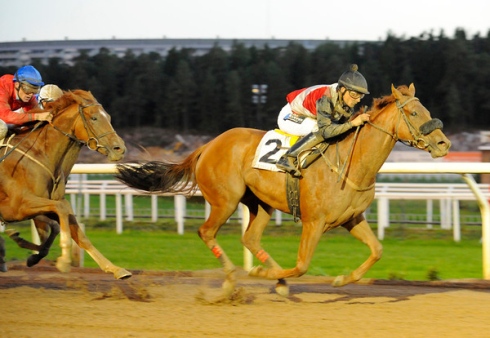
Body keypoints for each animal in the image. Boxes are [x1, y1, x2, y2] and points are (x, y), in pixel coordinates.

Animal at [0, 90, 132, 280]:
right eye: (94, 118)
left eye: (108, 116)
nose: (119, 148)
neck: (39, 153)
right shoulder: (15, 207)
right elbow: (60, 211)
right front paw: (64, 260)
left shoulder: (47, 205)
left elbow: (76, 232)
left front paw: (115, 269)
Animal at [116, 84, 452, 296]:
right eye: (414, 114)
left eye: (425, 109)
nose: (444, 143)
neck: (351, 161)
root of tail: (207, 145)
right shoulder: (314, 222)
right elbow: (302, 265)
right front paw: (260, 274)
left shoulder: (351, 218)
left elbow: (377, 250)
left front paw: (341, 279)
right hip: (225, 200)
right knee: (207, 232)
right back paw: (233, 278)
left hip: (259, 203)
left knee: (250, 238)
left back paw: (273, 278)